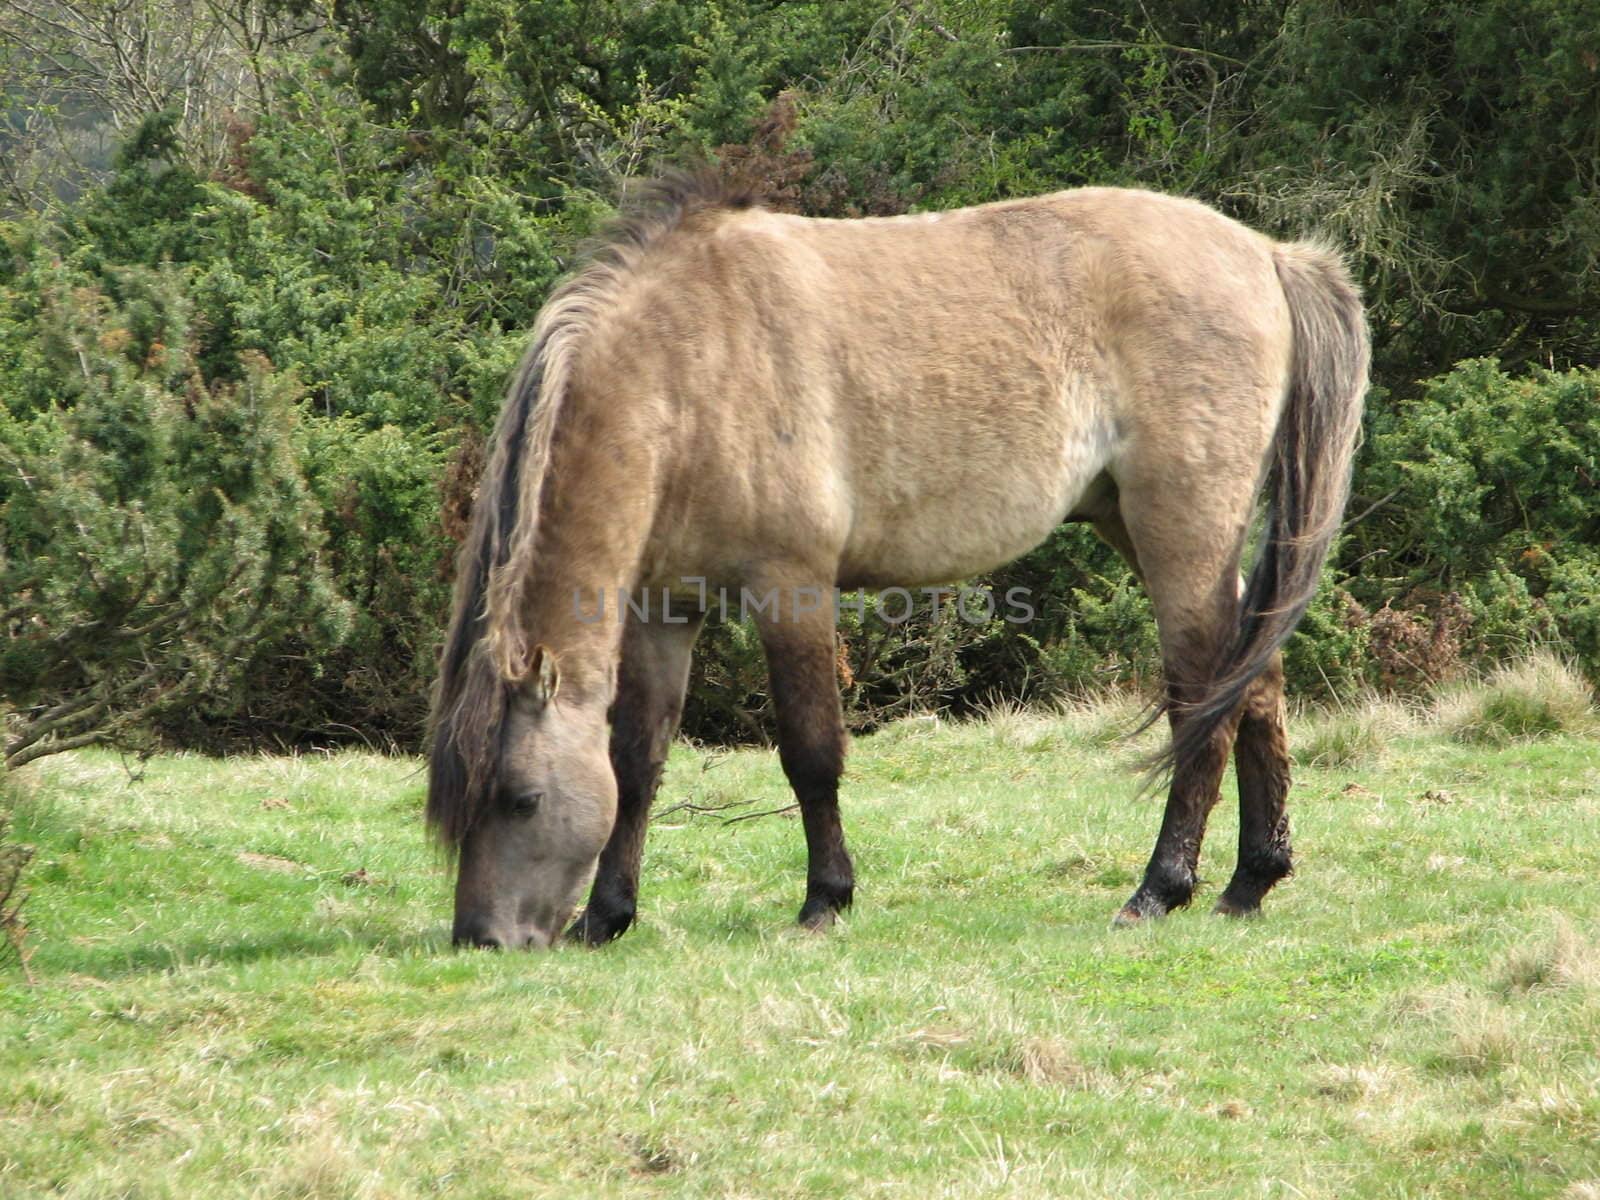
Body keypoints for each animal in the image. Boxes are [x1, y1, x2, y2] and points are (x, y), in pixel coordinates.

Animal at [432, 173, 1369, 953]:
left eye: (521, 798)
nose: (482, 940)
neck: (687, 368)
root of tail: (1267, 255)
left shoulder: (791, 588)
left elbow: (811, 750)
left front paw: (825, 899)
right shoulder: (664, 611)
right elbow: (637, 761)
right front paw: (609, 915)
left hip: (1181, 529)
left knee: (1202, 697)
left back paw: (1159, 890)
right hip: (1139, 528)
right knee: (1257, 681)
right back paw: (1250, 883)